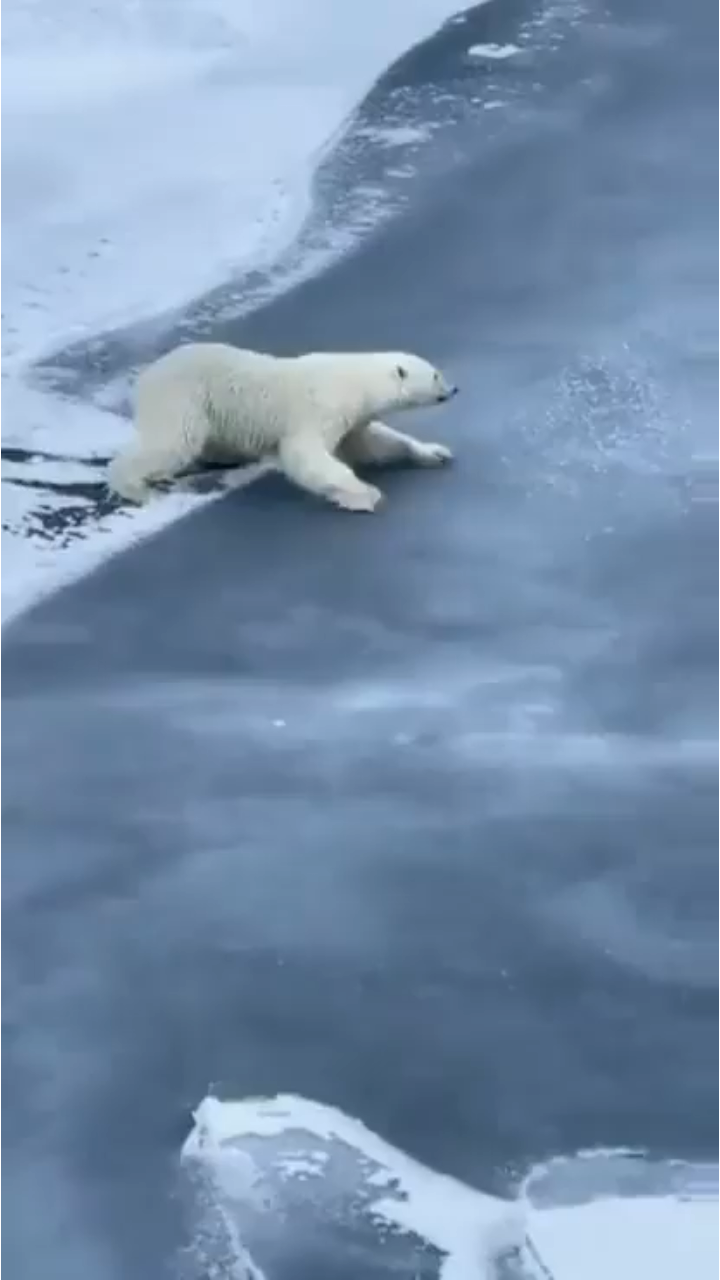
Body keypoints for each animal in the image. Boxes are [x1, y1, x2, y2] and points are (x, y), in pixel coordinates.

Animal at [106, 342, 457, 513]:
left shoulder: (352, 419)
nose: (454, 389)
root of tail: (143, 380)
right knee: (173, 441)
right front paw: (366, 494)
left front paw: (435, 452)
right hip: (184, 398)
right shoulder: (321, 407)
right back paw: (135, 487)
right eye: (436, 374)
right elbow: (305, 454)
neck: (355, 380)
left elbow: (371, 444)